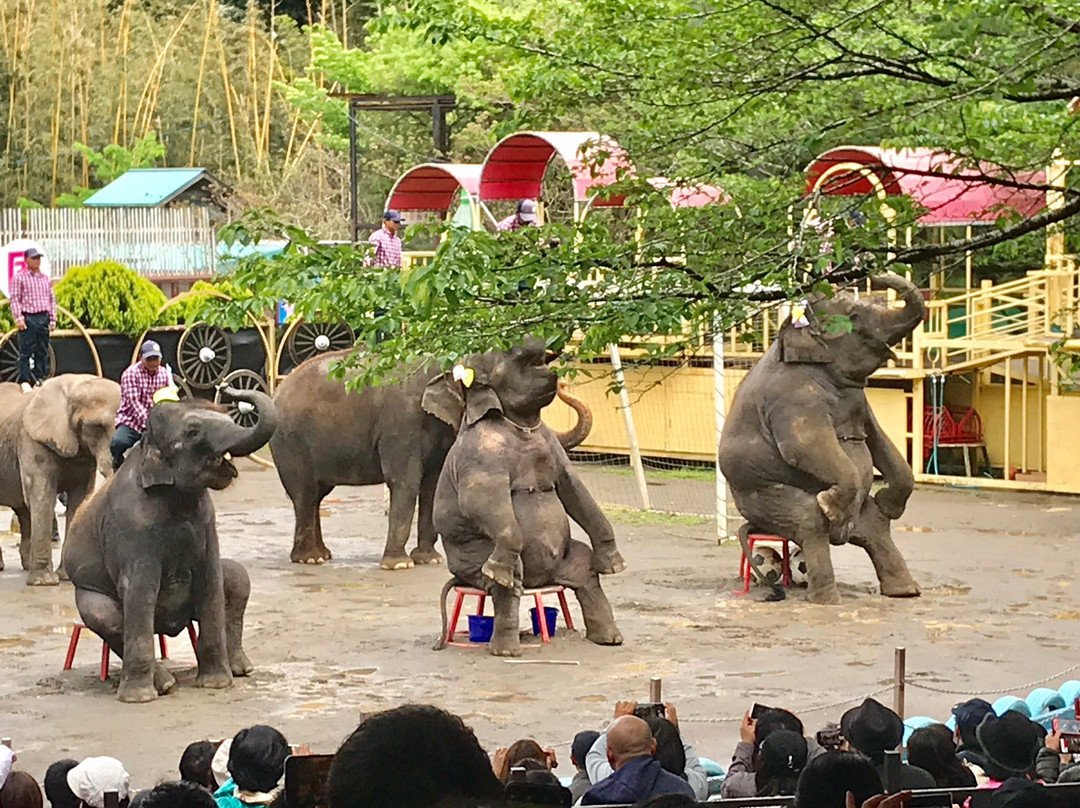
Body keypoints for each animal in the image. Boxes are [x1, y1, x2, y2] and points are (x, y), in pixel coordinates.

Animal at [0, 375, 119, 585]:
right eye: (96, 427)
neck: (74, 384)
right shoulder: (32, 441)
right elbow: (43, 498)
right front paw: (44, 582)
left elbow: (78, 501)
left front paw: (68, 578)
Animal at [62, 388, 276, 703]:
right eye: (193, 432)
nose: (230, 391)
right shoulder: (130, 524)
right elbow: (140, 589)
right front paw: (139, 699)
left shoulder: (206, 520)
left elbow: (212, 580)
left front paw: (216, 684)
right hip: (89, 593)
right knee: (105, 616)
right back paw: (164, 684)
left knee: (237, 580)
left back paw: (240, 669)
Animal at [270, 349, 593, 568]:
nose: (562, 384)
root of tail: (276, 390)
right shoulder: (401, 424)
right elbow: (405, 483)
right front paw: (399, 565)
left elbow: (431, 486)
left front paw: (429, 560)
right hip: (290, 443)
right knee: (305, 495)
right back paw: (309, 559)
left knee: (317, 496)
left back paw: (321, 556)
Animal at [428, 338, 626, 657]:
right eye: (507, 347)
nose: (564, 381)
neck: (518, 424)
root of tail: (542, 581)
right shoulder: (478, 453)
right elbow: (480, 500)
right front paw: (499, 571)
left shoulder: (551, 443)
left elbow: (573, 487)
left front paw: (615, 566)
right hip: (473, 560)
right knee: (509, 583)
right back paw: (506, 647)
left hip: (566, 560)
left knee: (585, 573)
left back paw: (609, 638)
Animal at [718, 273, 925, 605]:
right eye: (853, 316)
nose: (870, 270)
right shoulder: (793, 397)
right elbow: (804, 445)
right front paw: (829, 506)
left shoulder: (860, 401)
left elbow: (879, 439)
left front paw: (887, 502)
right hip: (763, 496)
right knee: (809, 521)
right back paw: (827, 597)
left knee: (875, 528)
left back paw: (904, 590)